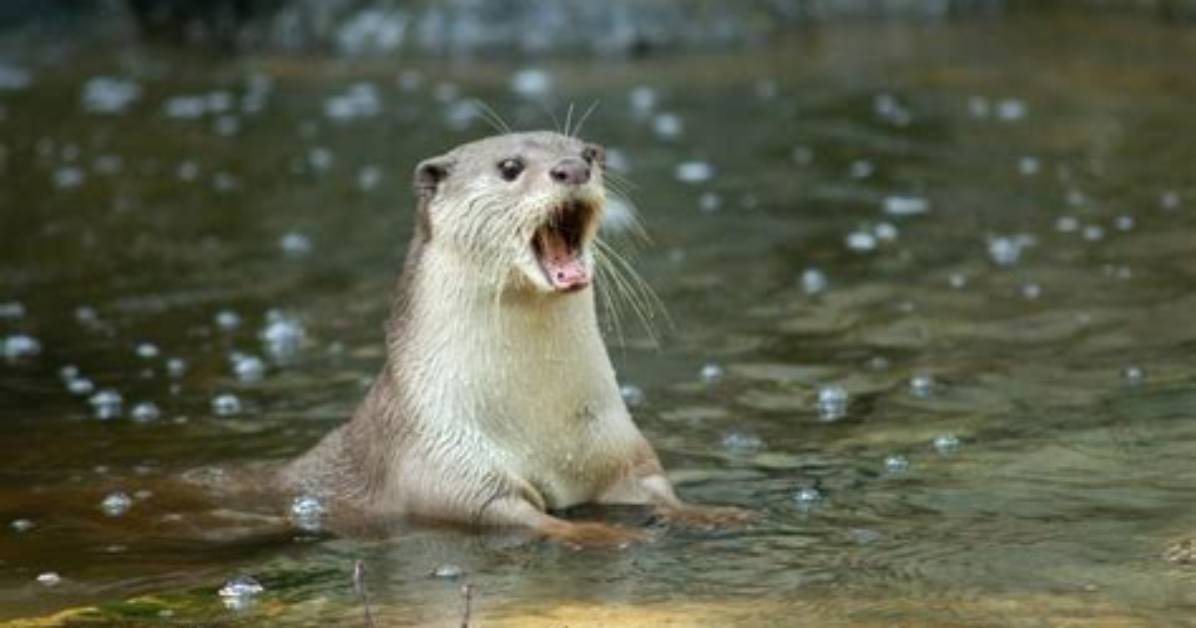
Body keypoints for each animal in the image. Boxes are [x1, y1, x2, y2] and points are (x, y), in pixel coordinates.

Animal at [280, 131, 747, 547]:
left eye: (588, 153)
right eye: (509, 167)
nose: (573, 169)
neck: (540, 422)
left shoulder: (618, 448)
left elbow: (655, 488)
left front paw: (715, 513)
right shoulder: (445, 465)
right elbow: (521, 516)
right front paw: (602, 533)